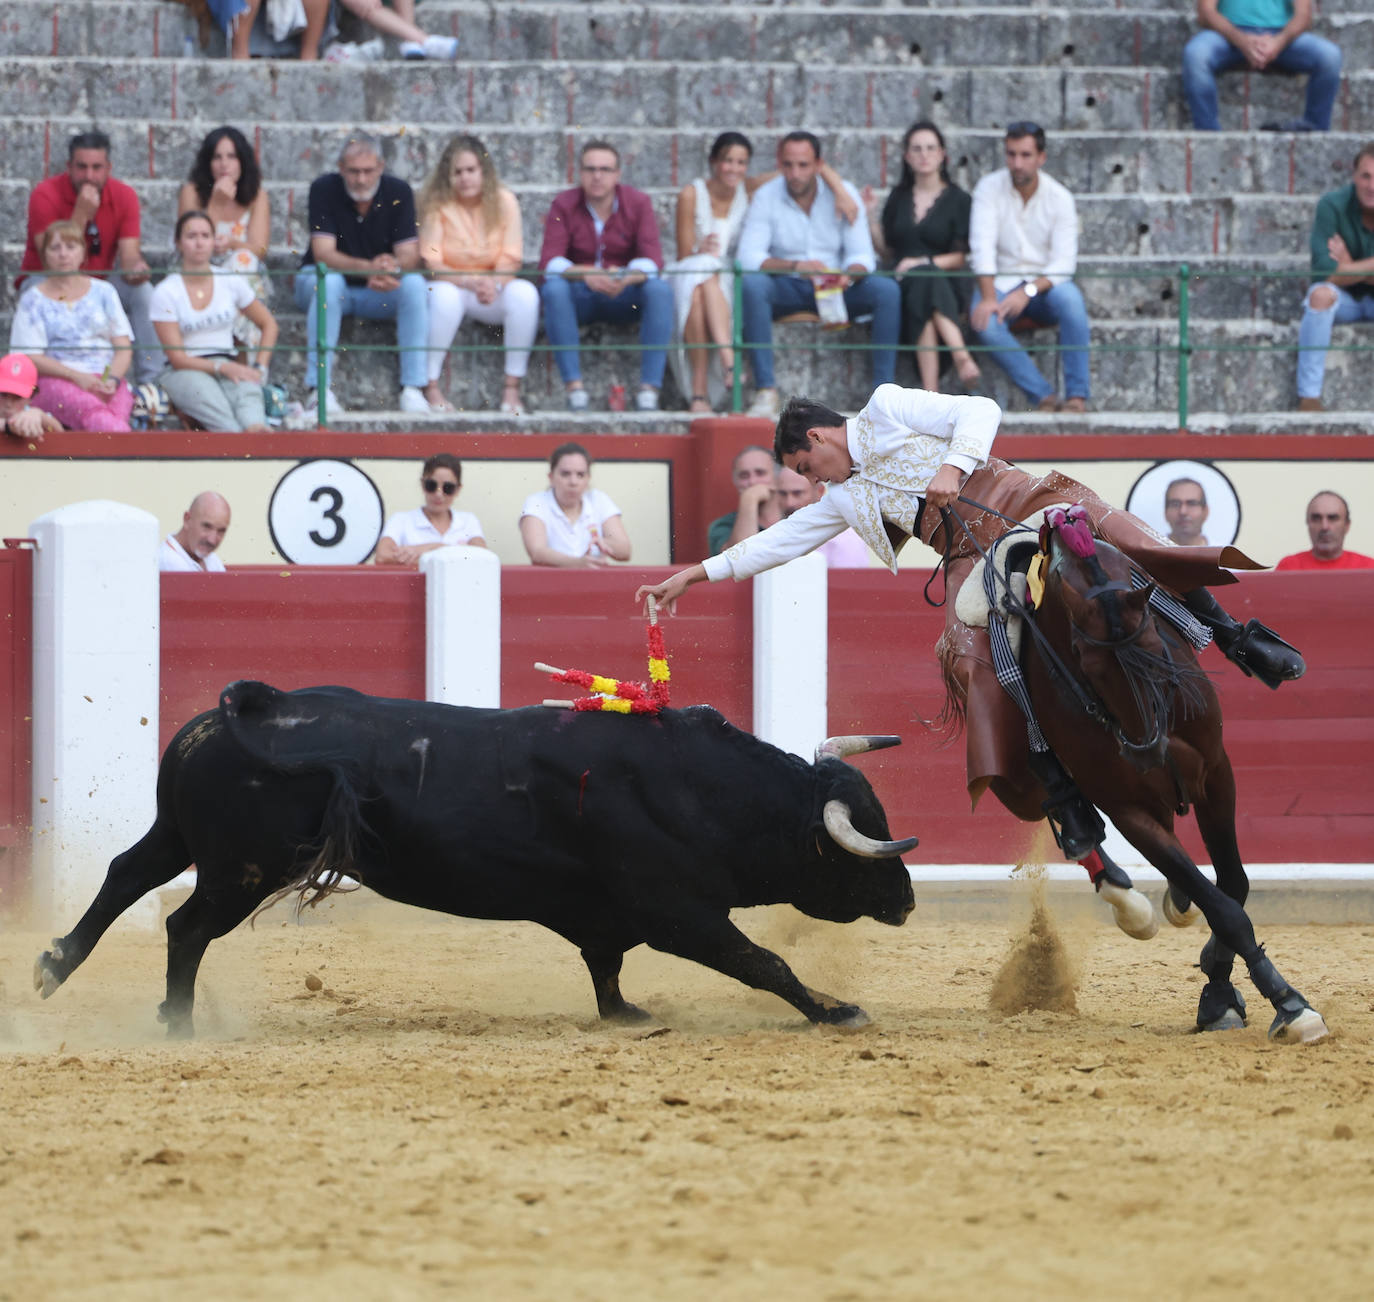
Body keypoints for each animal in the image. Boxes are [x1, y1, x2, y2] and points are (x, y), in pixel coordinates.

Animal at [34, 681, 912, 1038]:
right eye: (861, 849)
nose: (905, 899)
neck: (702, 788)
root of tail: (248, 708)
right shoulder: (681, 912)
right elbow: (763, 961)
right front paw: (837, 1010)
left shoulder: (610, 916)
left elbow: (606, 968)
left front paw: (626, 1015)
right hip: (243, 869)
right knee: (184, 926)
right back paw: (178, 1022)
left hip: (185, 838)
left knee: (125, 874)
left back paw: (54, 964)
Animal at [1016, 502, 1324, 1043]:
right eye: (1087, 666)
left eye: (1155, 644)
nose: (1146, 751)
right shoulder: (1129, 810)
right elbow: (1224, 907)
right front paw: (1285, 1003)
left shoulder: (1216, 773)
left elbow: (1233, 884)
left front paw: (1219, 983)